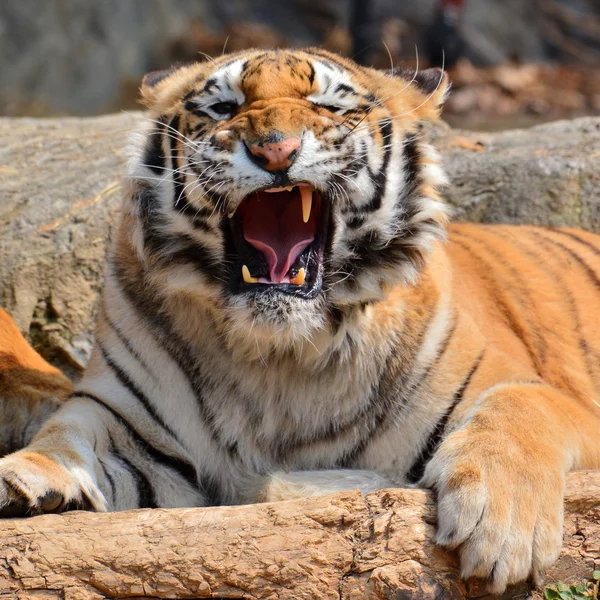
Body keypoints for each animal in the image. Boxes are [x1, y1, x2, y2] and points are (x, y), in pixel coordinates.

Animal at [1, 48, 600, 596]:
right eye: (223, 107)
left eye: (329, 105)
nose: (274, 149)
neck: (280, 354)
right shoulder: (126, 422)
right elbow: (63, 436)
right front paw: (24, 479)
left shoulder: (547, 399)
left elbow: (518, 408)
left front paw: (501, 531)